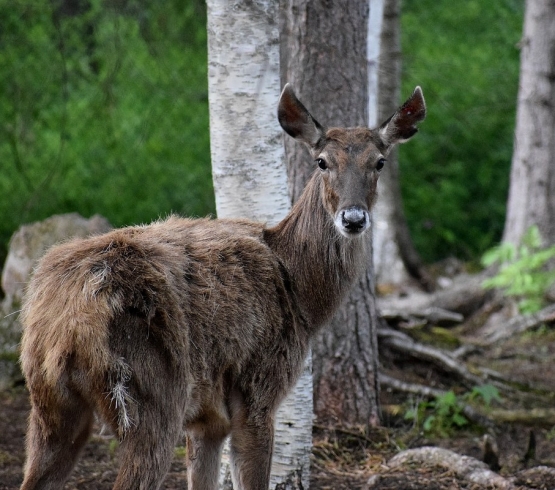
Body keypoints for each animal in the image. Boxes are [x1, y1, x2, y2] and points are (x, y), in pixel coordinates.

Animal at [17, 82, 426, 488]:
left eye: (380, 161)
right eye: (322, 161)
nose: (353, 218)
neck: (301, 293)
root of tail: (71, 321)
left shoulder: (207, 420)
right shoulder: (258, 387)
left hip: (49, 404)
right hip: (150, 395)